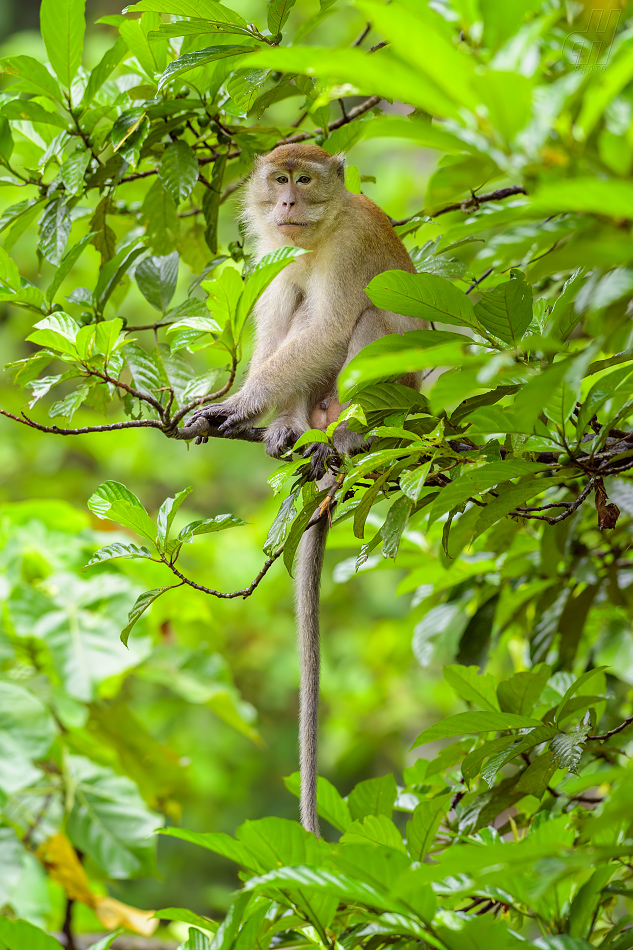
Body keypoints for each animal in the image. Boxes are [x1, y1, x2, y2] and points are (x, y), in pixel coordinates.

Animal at [191, 145, 430, 836]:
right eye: (278, 179)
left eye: (304, 178)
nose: (289, 202)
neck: (318, 234)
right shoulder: (277, 250)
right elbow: (280, 307)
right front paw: (253, 413)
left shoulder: (349, 246)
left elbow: (330, 326)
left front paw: (236, 404)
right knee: (290, 301)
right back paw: (294, 428)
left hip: (402, 391)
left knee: (369, 317)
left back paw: (348, 436)